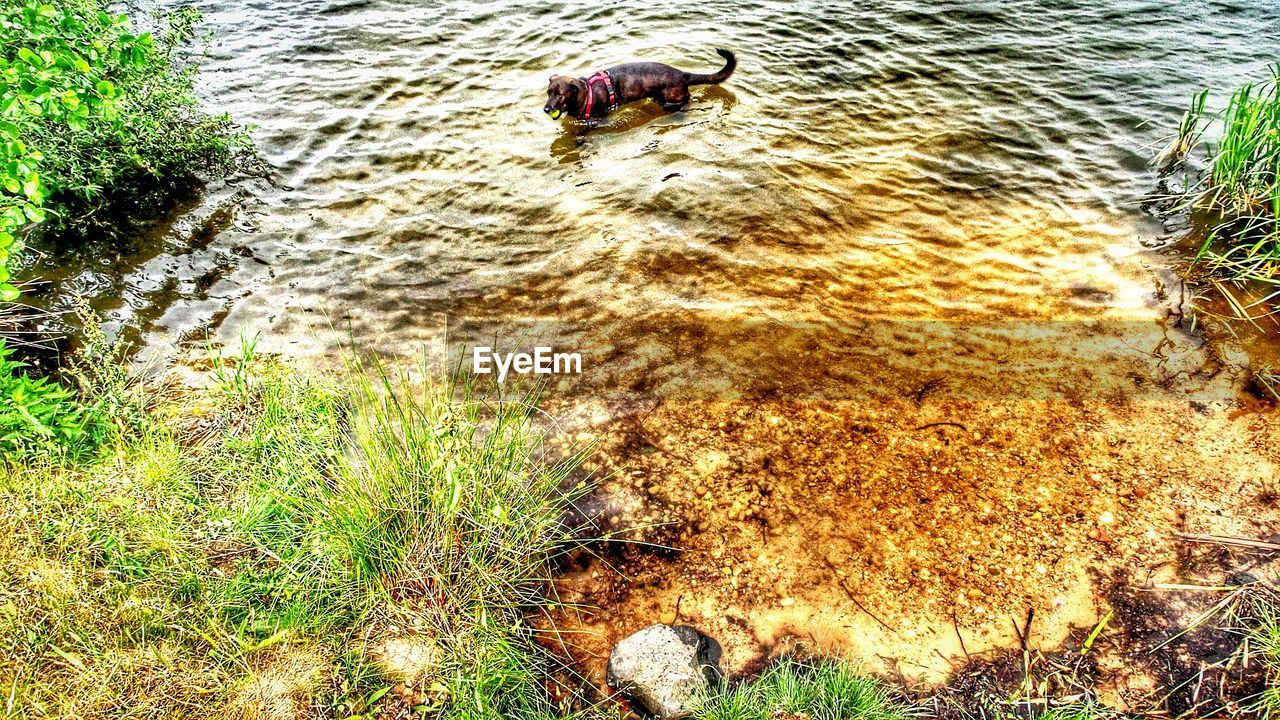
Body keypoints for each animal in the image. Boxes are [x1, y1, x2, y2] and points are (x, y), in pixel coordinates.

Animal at [542, 48, 742, 120]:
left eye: (560, 94)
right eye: (548, 93)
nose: (546, 109)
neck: (587, 93)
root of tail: (682, 74)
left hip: (671, 99)